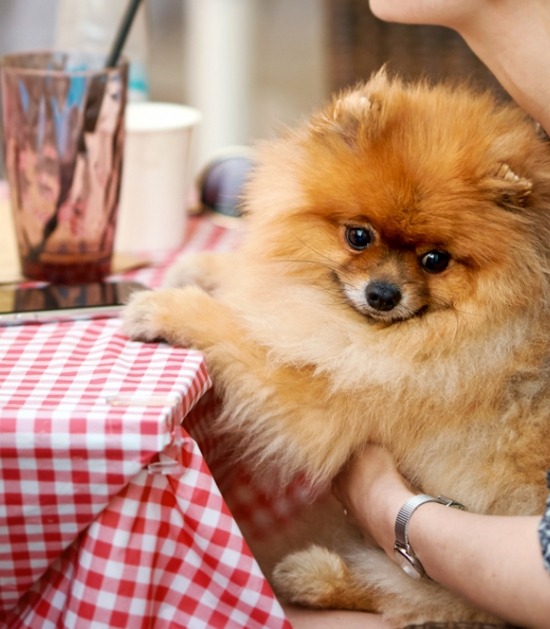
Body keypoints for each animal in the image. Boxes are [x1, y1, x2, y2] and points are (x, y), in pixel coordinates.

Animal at [123, 71, 550, 624]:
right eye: (358, 236)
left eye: (435, 260)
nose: (383, 294)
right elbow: (256, 283)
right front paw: (203, 268)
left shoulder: (319, 395)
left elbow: (236, 332)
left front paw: (169, 308)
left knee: (418, 593)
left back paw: (316, 577)